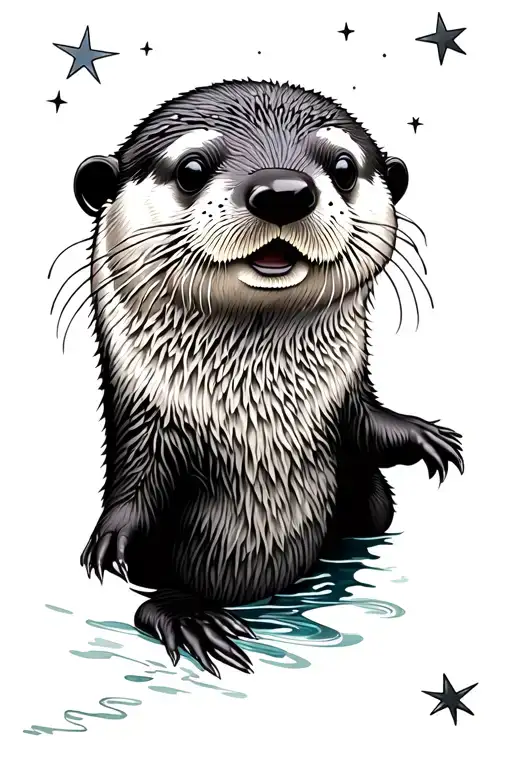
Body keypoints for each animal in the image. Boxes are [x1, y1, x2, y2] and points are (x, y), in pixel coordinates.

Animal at [74, 79, 463, 678]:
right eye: (191, 168)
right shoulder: (148, 427)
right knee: (155, 601)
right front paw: (111, 540)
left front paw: (425, 436)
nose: (283, 190)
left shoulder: (345, 404)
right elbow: (136, 499)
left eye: (344, 167)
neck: (258, 415)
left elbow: (372, 429)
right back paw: (196, 621)